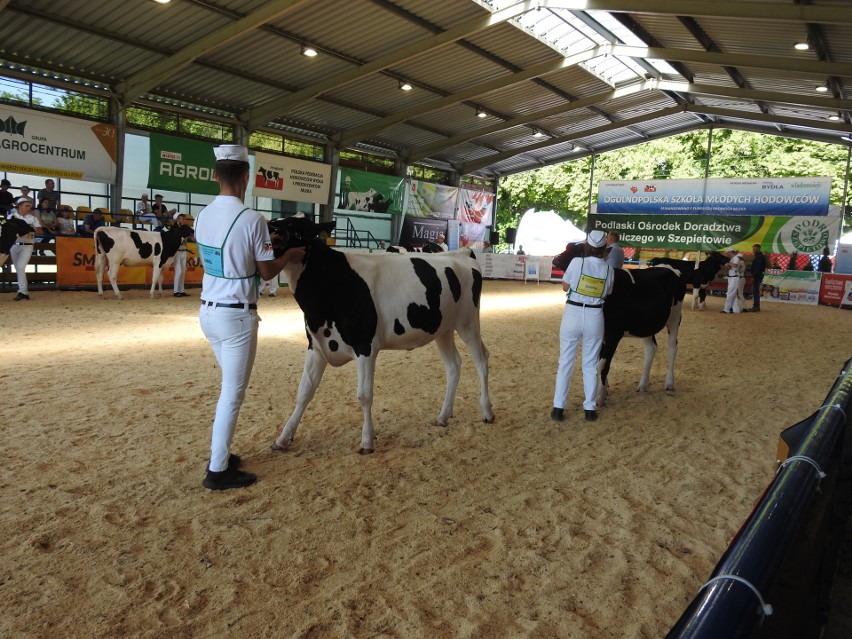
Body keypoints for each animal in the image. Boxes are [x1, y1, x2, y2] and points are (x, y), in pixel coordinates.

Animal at [266, 215, 492, 456]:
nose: (267, 230)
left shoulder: (365, 346)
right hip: (443, 329)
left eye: (292, 227)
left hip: (468, 322)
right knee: (453, 365)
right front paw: (283, 438)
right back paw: (443, 416)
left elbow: (364, 395)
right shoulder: (317, 346)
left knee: (481, 360)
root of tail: (462, 253)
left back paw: (487, 412)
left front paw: (367, 440)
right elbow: (304, 392)